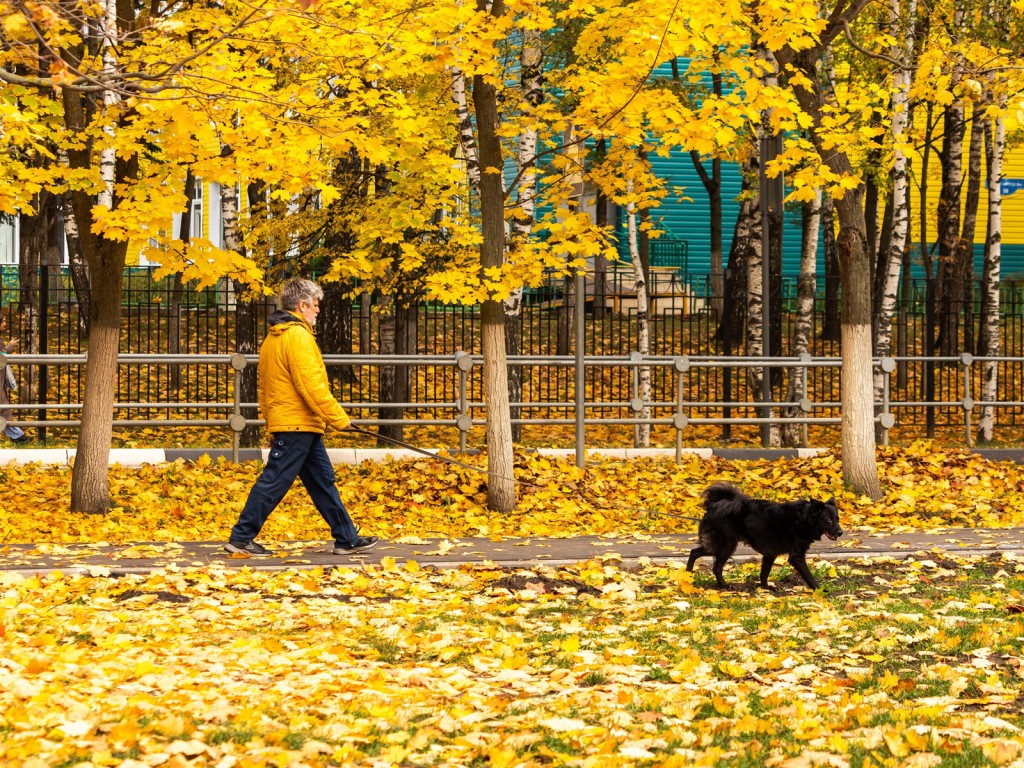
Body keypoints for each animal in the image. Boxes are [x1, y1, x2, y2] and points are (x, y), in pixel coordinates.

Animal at [688, 483, 839, 593]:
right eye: (829, 520)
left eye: (837, 519)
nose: (840, 532)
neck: (803, 519)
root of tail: (714, 506)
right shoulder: (796, 557)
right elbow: (809, 576)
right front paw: (820, 590)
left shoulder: (770, 554)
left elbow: (764, 572)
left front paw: (765, 588)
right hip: (726, 546)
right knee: (716, 568)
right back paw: (724, 586)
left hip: (717, 546)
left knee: (694, 552)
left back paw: (687, 576)